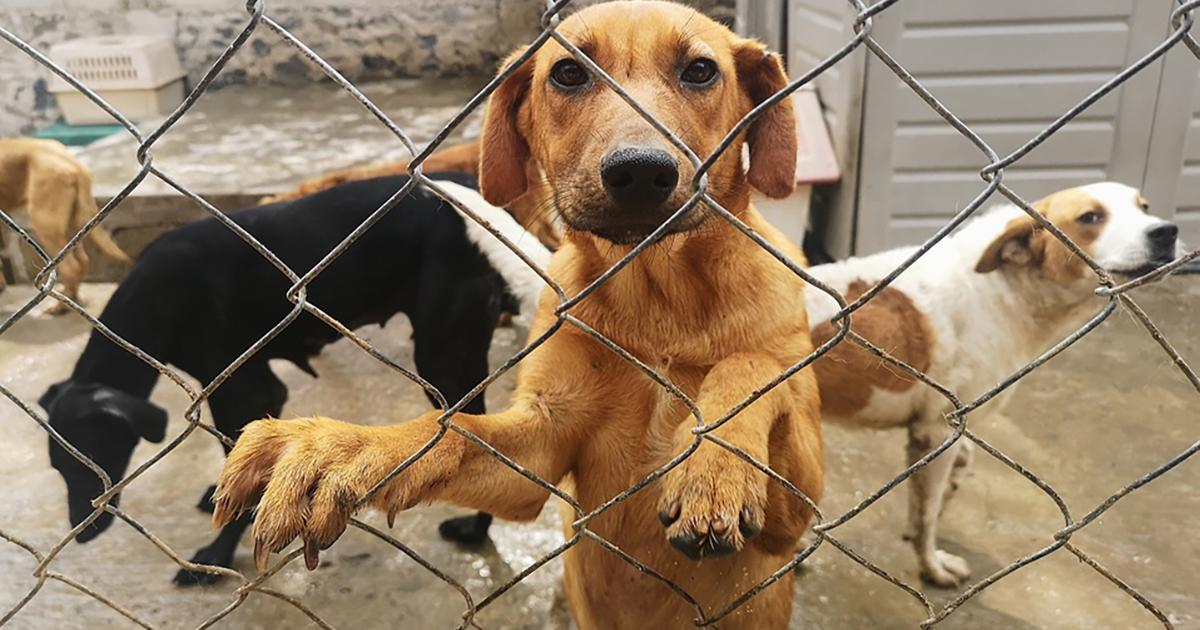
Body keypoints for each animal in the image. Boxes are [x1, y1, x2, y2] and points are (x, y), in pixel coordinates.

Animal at [0, 139, 130, 312]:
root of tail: (75, 165)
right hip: (71, 230)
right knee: (82, 261)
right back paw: (70, 297)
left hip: (45, 226)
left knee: (71, 267)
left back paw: (59, 306)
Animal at [36, 172, 544, 585]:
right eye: (59, 468)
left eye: (94, 458)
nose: (82, 534)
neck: (153, 297)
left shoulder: (245, 388)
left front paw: (217, 553)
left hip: (443, 357)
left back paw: (475, 528)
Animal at [806, 181, 1180, 585]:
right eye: (1090, 217)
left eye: (1144, 207)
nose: (1166, 232)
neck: (1002, 287)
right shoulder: (937, 429)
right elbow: (928, 514)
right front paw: (932, 566)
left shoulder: (944, 427)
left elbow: (943, 481)